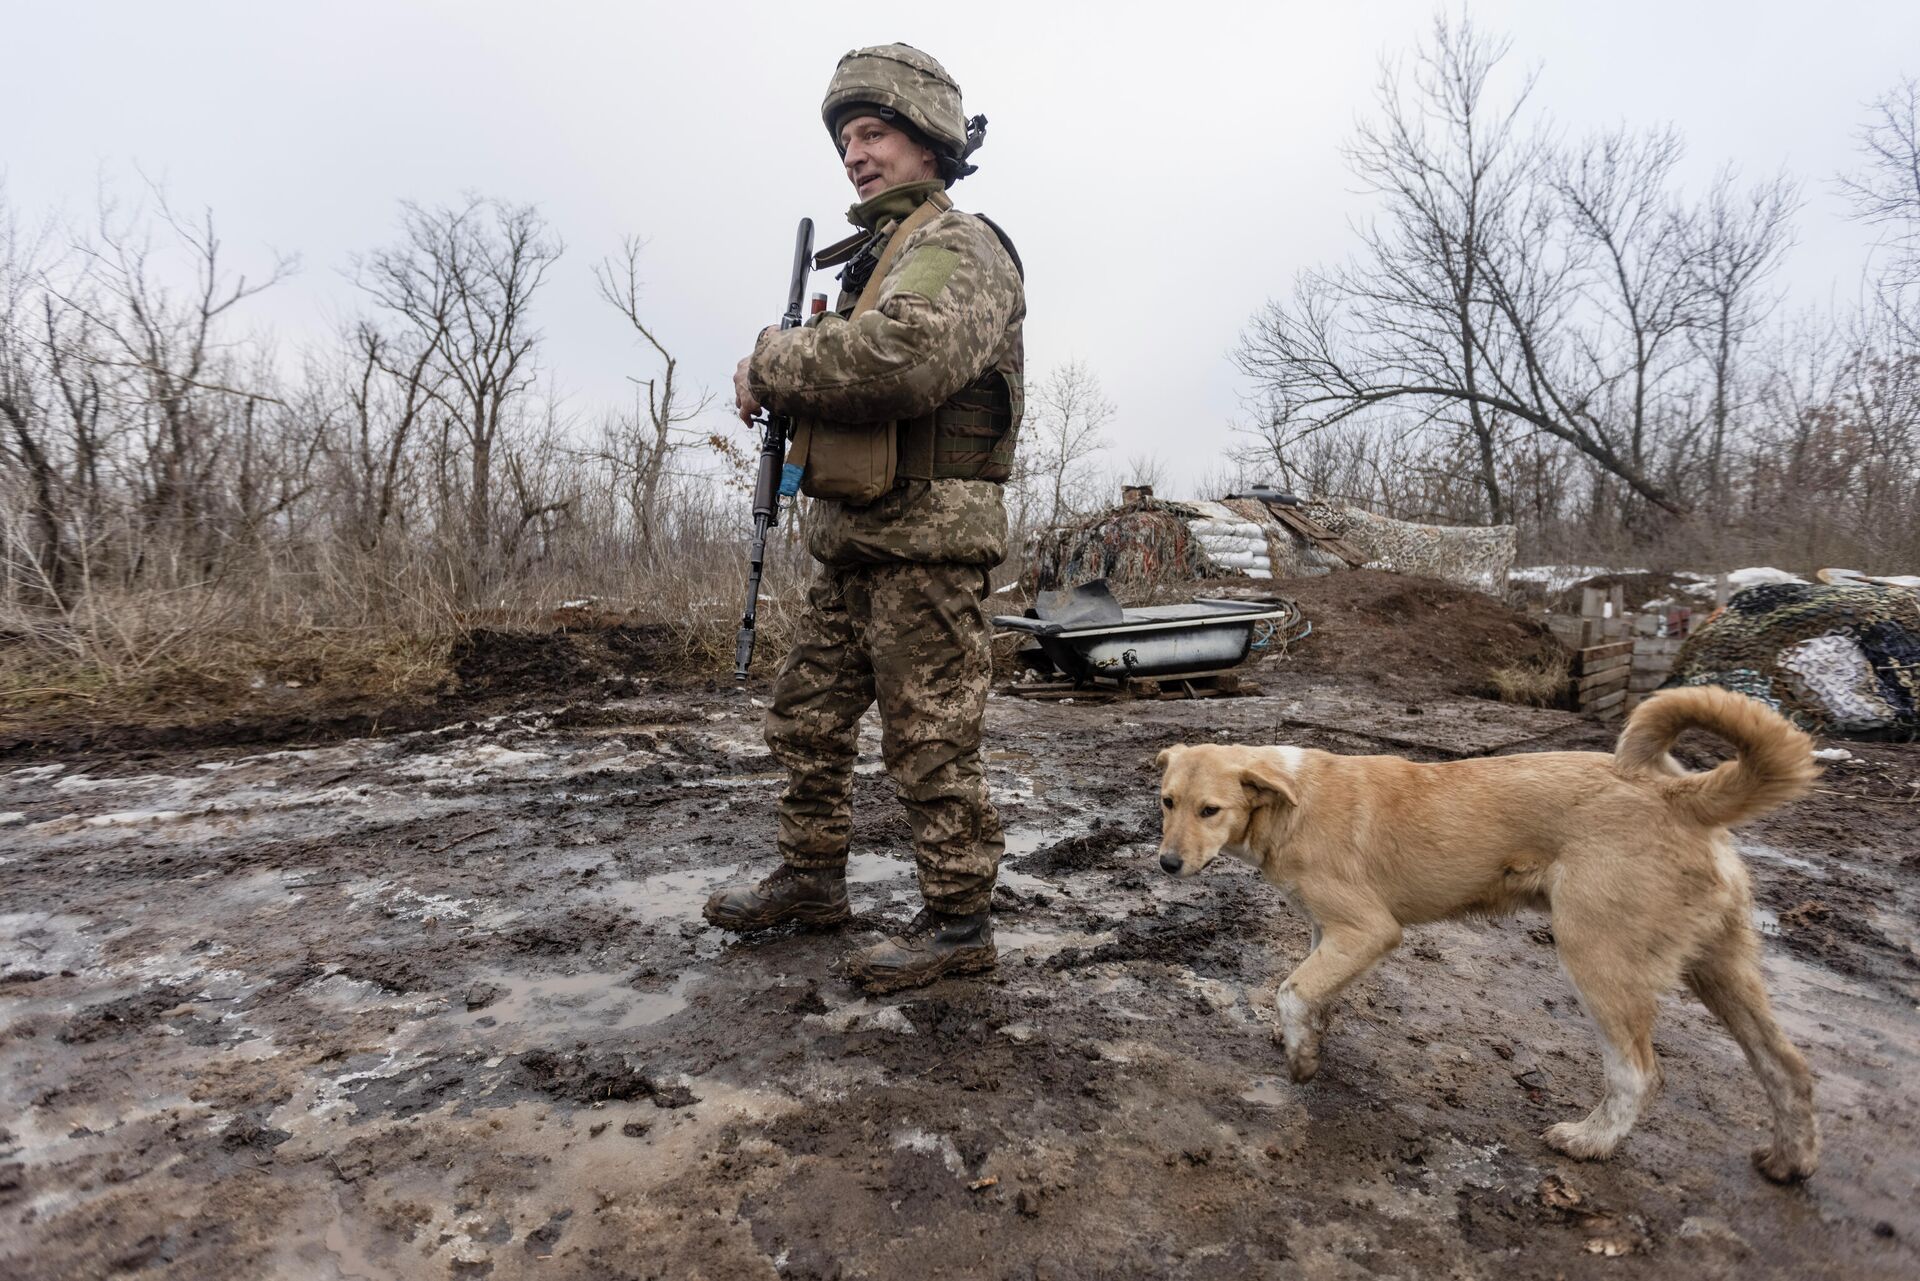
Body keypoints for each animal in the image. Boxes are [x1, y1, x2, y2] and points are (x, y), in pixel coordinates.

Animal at [1159, 691, 1820, 1183]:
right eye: (1166, 802)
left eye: (1210, 810)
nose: (1166, 863)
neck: (1288, 801)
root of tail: (1679, 794)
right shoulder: (1330, 931)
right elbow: (1313, 991)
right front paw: (1310, 1039)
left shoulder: (1369, 929)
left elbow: (1292, 990)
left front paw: (1300, 1061)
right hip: (1721, 968)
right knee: (1786, 1066)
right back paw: (1790, 1161)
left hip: (1597, 958)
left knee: (1638, 1072)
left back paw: (1589, 1141)